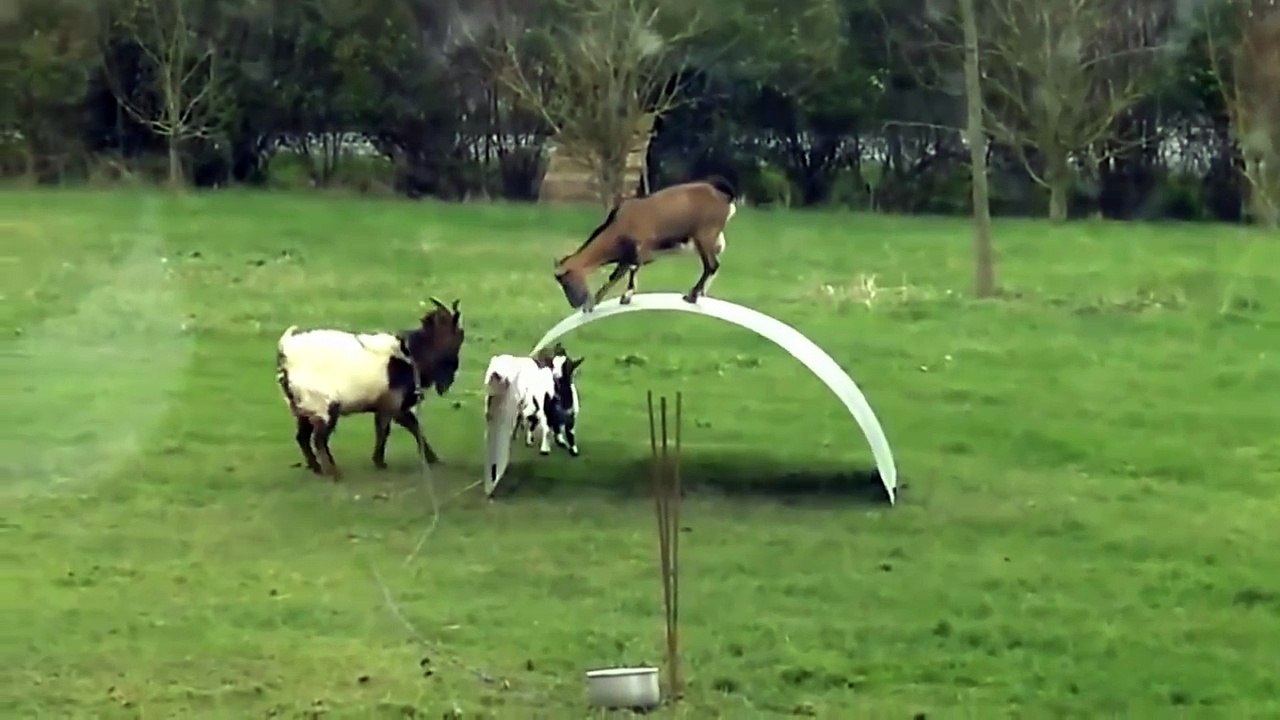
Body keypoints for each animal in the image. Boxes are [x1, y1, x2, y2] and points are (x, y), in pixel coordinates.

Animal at [275, 298, 465, 481]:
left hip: (302, 408)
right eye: (457, 336)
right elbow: (386, 430)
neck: (410, 355)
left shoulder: (394, 406)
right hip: (324, 405)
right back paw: (334, 473)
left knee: (302, 437)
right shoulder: (391, 403)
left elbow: (413, 426)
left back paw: (317, 468)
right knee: (318, 439)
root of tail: (286, 353)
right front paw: (380, 462)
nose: (450, 376)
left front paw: (433, 459)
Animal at [552, 177, 738, 311]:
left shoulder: (639, 250)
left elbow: (621, 273)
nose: (575, 304)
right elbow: (624, 270)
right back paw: (700, 293)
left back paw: (692, 296)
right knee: (712, 264)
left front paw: (611, 299)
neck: (618, 226)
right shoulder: (629, 254)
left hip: (704, 236)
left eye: (567, 281)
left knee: (711, 265)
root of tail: (723, 195)